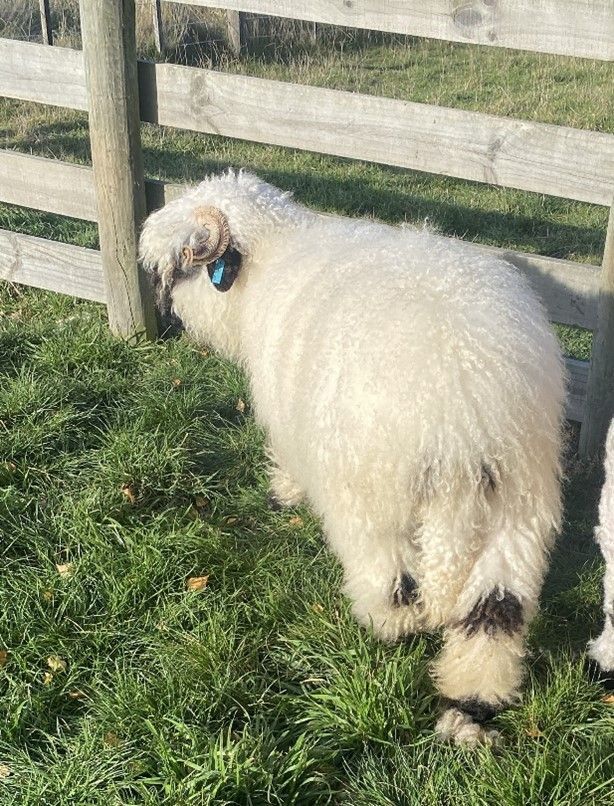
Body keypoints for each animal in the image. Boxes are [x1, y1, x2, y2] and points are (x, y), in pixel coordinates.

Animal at [140, 170, 568, 744]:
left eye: (180, 267)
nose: (167, 316)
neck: (277, 253)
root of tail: (463, 420)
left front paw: (282, 496)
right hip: (520, 506)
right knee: (495, 613)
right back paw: (471, 698)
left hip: (373, 500)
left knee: (394, 582)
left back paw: (385, 628)